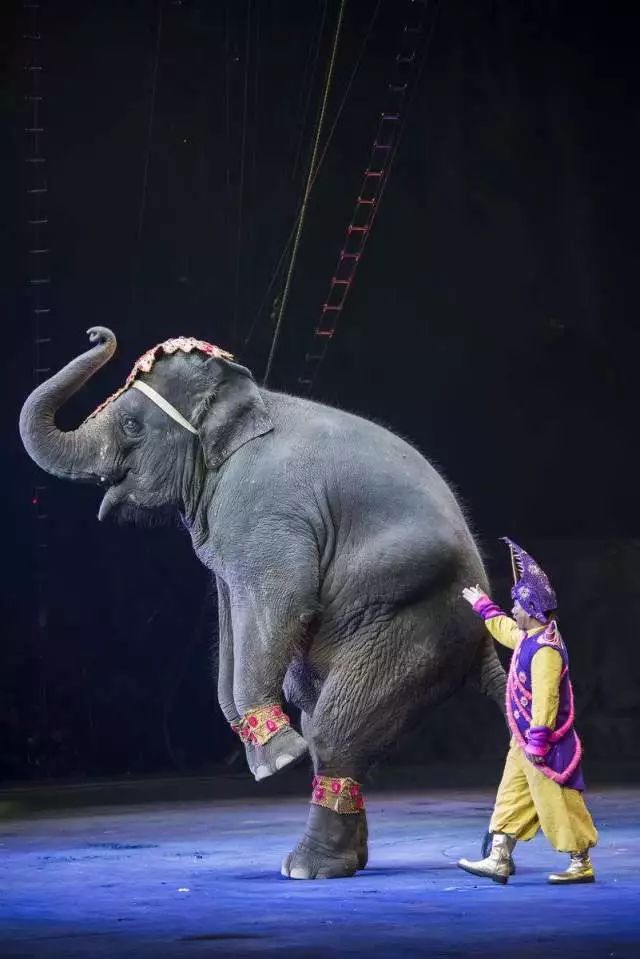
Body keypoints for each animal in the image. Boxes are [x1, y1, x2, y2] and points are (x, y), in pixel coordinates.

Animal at [19, 327, 505, 879]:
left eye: (131, 425)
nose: (98, 334)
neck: (246, 402)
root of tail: (485, 637)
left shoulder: (262, 505)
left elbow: (279, 590)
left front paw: (277, 759)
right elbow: (232, 610)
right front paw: (267, 749)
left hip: (412, 625)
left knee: (335, 731)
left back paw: (307, 867)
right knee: (328, 724)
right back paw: (345, 861)